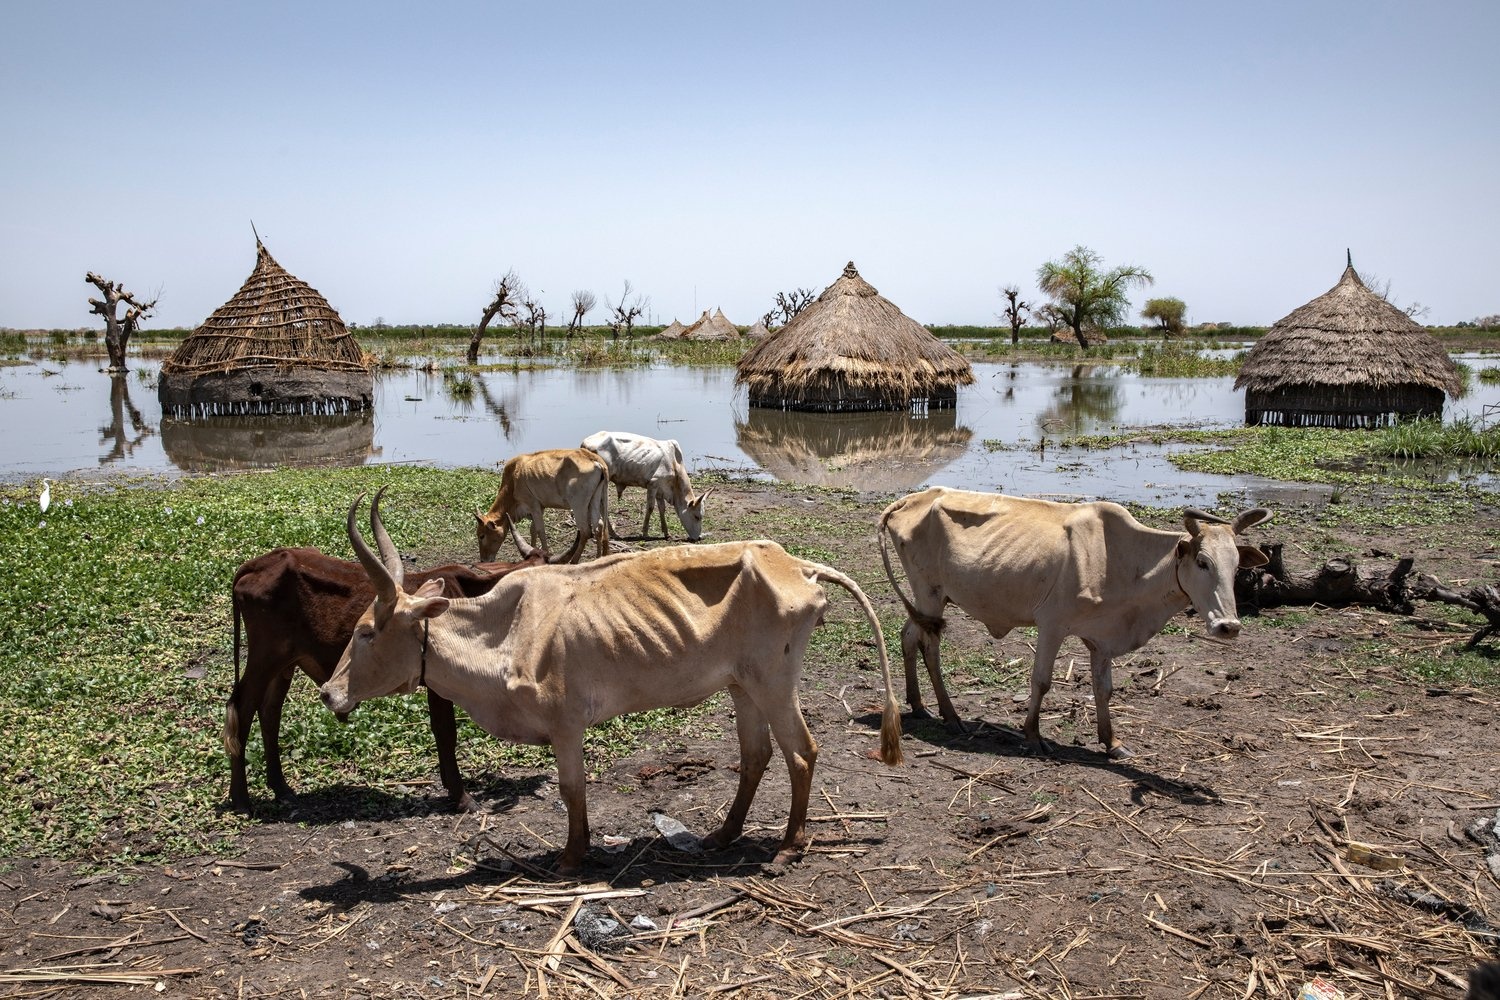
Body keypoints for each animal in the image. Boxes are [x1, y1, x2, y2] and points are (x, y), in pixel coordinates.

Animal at [226, 524, 583, 813]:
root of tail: (258, 564)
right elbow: (446, 732)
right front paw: (461, 796)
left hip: (284, 665)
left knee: (269, 714)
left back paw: (281, 788)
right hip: (264, 658)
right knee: (242, 711)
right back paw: (241, 799)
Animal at [321, 489, 904, 873]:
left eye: (367, 631)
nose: (329, 692)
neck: (505, 632)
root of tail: (798, 566)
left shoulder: (565, 724)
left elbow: (572, 789)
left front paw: (571, 856)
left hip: (774, 683)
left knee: (801, 752)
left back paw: (788, 845)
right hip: (743, 687)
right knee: (756, 755)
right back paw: (723, 834)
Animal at [475, 448, 610, 562]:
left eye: (482, 536)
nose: (483, 560)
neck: (512, 481)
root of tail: (594, 459)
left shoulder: (533, 505)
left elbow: (540, 530)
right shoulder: (540, 507)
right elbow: (533, 530)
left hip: (578, 505)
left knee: (585, 531)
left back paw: (574, 561)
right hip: (595, 500)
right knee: (599, 526)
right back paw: (598, 557)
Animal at [580, 430, 710, 540]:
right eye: (697, 516)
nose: (698, 537)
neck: (674, 464)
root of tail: (584, 443)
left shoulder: (660, 489)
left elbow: (662, 509)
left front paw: (666, 533)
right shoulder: (653, 484)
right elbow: (650, 507)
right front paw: (645, 533)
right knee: (602, 504)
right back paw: (612, 533)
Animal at [878, 488, 1271, 758]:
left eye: (1237, 566)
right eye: (1202, 562)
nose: (1228, 626)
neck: (1122, 561)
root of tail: (913, 499)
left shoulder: (1102, 638)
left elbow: (1103, 689)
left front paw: (1112, 742)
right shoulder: (1052, 624)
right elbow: (1041, 681)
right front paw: (1033, 735)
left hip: (928, 600)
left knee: (908, 636)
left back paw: (919, 705)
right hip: (929, 593)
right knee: (929, 646)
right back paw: (950, 714)